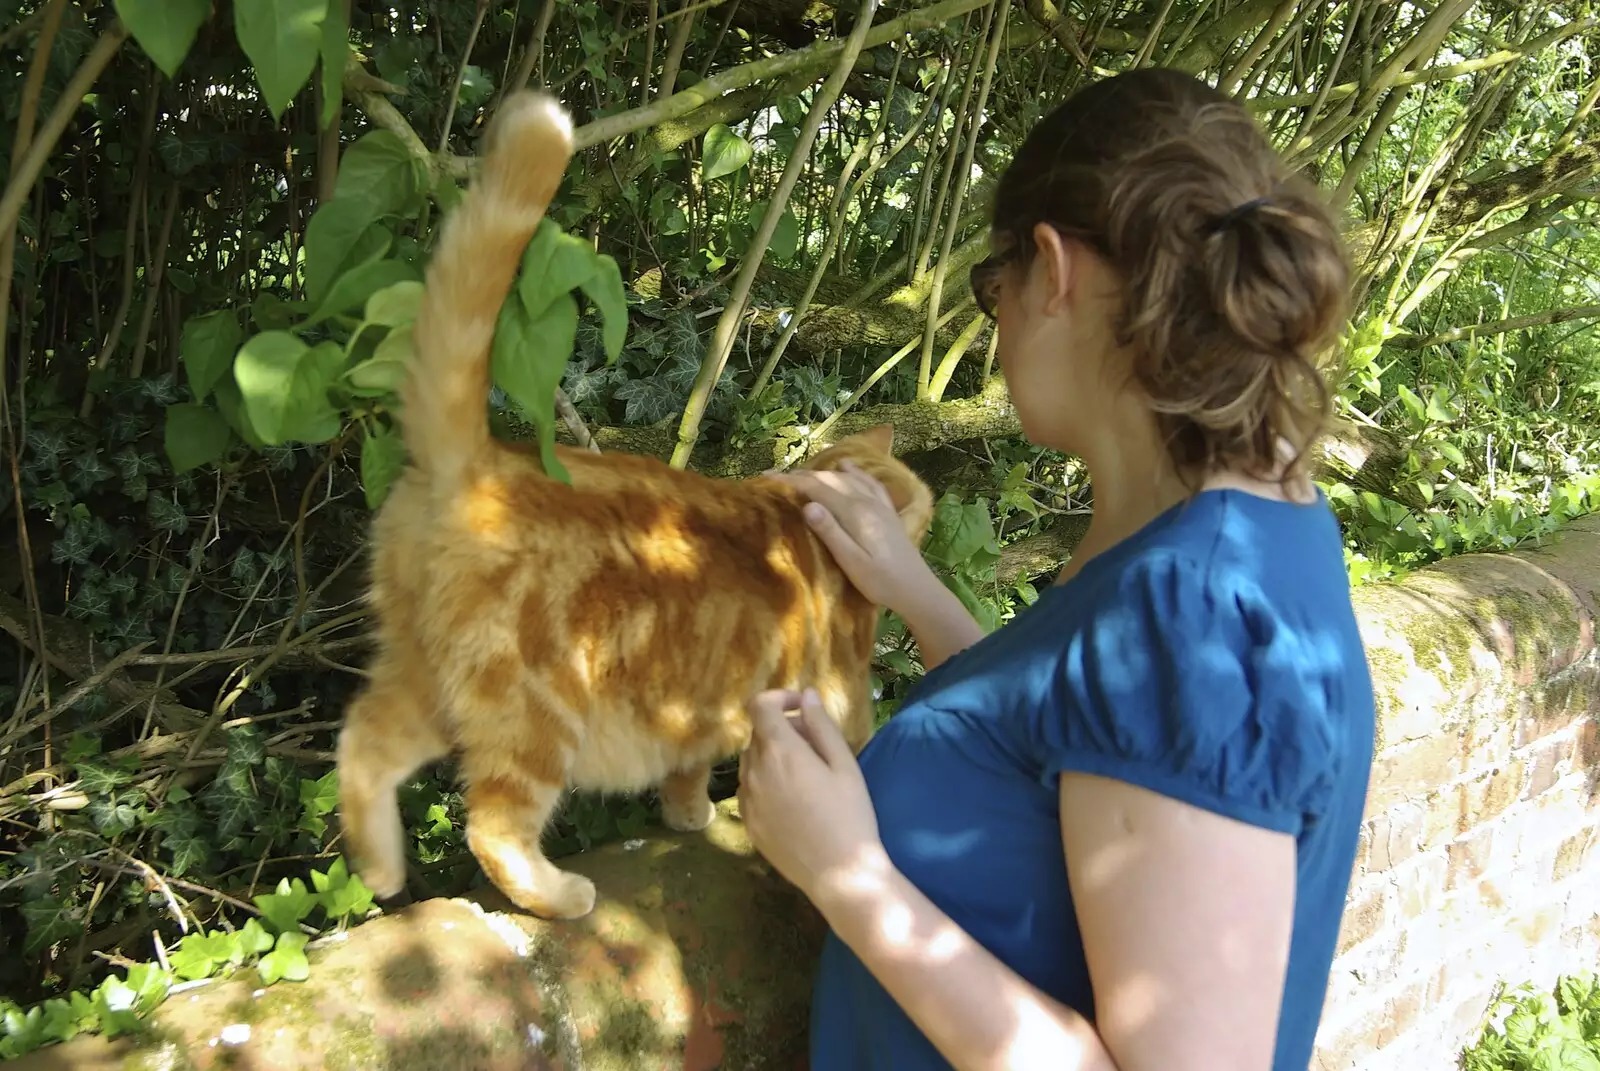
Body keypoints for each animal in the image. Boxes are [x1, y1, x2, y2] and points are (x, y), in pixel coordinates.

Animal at [337, 94, 934, 922]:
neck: (809, 507)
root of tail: (477, 460)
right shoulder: (838, 703)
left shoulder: (700, 715)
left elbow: (686, 767)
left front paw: (687, 814)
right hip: (535, 714)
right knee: (493, 825)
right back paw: (558, 894)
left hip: (426, 678)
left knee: (362, 742)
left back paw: (381, 869)